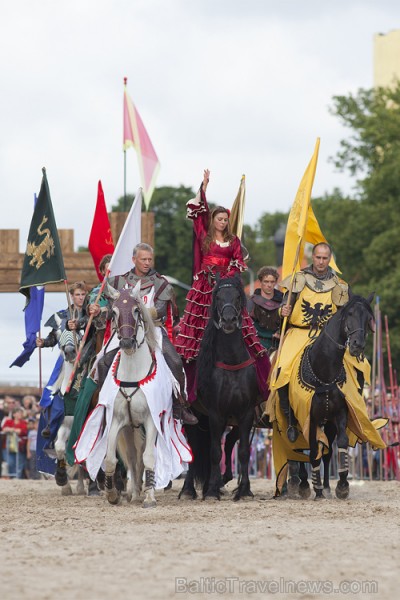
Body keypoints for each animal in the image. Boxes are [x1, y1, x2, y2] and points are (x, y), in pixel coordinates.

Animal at [180, 276, 260, 502]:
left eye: (238, 297)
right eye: (218, 297)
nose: (229, 320)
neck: (232, 361)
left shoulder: (246, 413)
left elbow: (243, 451)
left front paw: (244, 490)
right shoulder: (216, 413)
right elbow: (215, 451)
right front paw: (212, 492)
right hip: (195, 415)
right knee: (194, 447)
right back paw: (189, 489)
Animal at [278, 292, 376, 500]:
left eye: (368, 318)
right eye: (350, 314)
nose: (358, 345)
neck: (324, 371)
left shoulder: (339, 414)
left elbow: (340, 444)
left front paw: (341, 485)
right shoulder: (309, 417)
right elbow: (313, 448)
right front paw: (314, 488)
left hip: (328, 422)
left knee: (327, 452)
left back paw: (325, 487)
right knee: (301, 448)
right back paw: (303, 484)